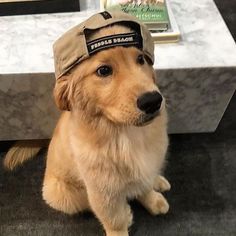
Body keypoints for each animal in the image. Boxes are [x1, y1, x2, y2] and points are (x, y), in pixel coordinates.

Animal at [3, 11, 170, 236]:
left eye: (141, 59)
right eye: (104, 71)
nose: (152, 101)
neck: (124, 133)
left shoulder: (147, 162)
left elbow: (144, 185)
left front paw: (153, 199)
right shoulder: (100, 189)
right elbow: (113, 219)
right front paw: (123, 221)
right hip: (59, 194)